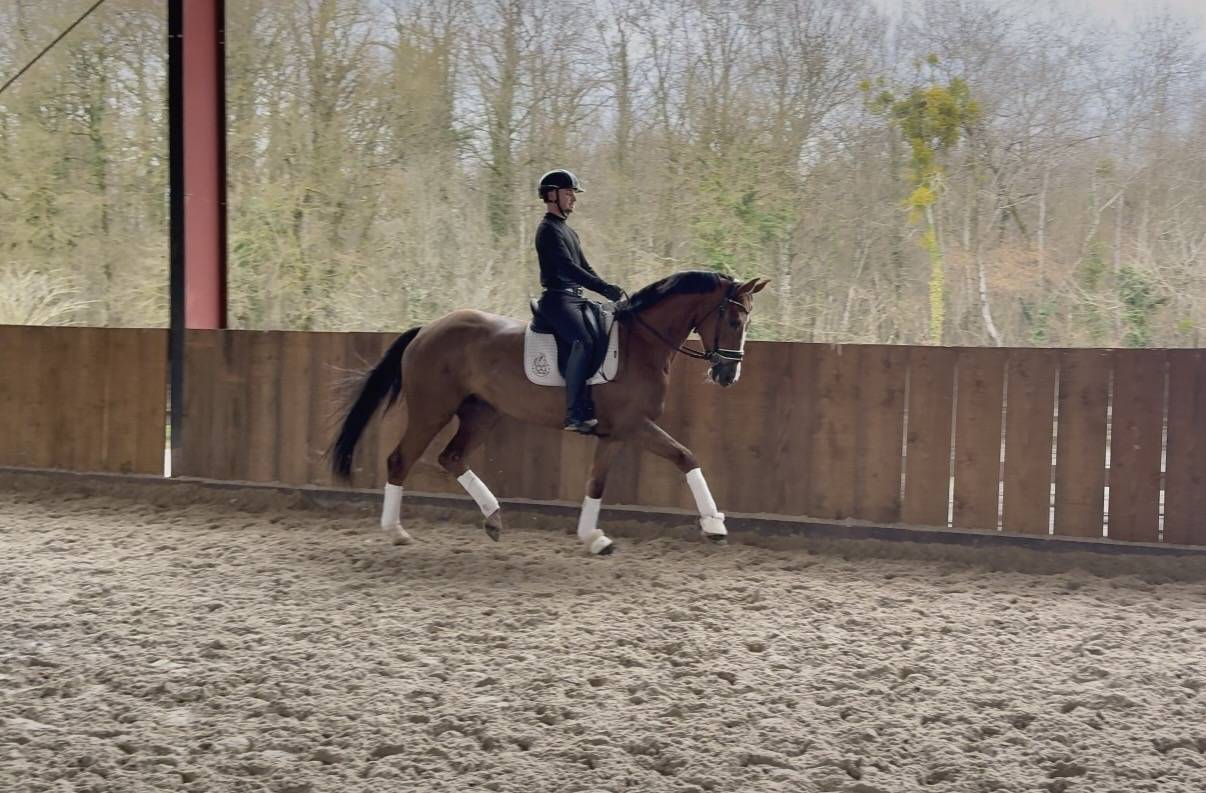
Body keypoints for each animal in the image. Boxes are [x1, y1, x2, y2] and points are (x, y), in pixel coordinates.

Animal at [329, 270, 770, 555]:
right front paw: (714, 525)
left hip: (482, 413)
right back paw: (396, 532)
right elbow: (686, 456)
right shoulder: (635, 425)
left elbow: (596, 482)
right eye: (734, 319)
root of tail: (426, 330)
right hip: (430, 411)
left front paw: (594, 537)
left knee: (451, 457)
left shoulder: (615, 432)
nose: (728, 374)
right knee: (400, 459)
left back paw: (493, 518)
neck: (641, 343)